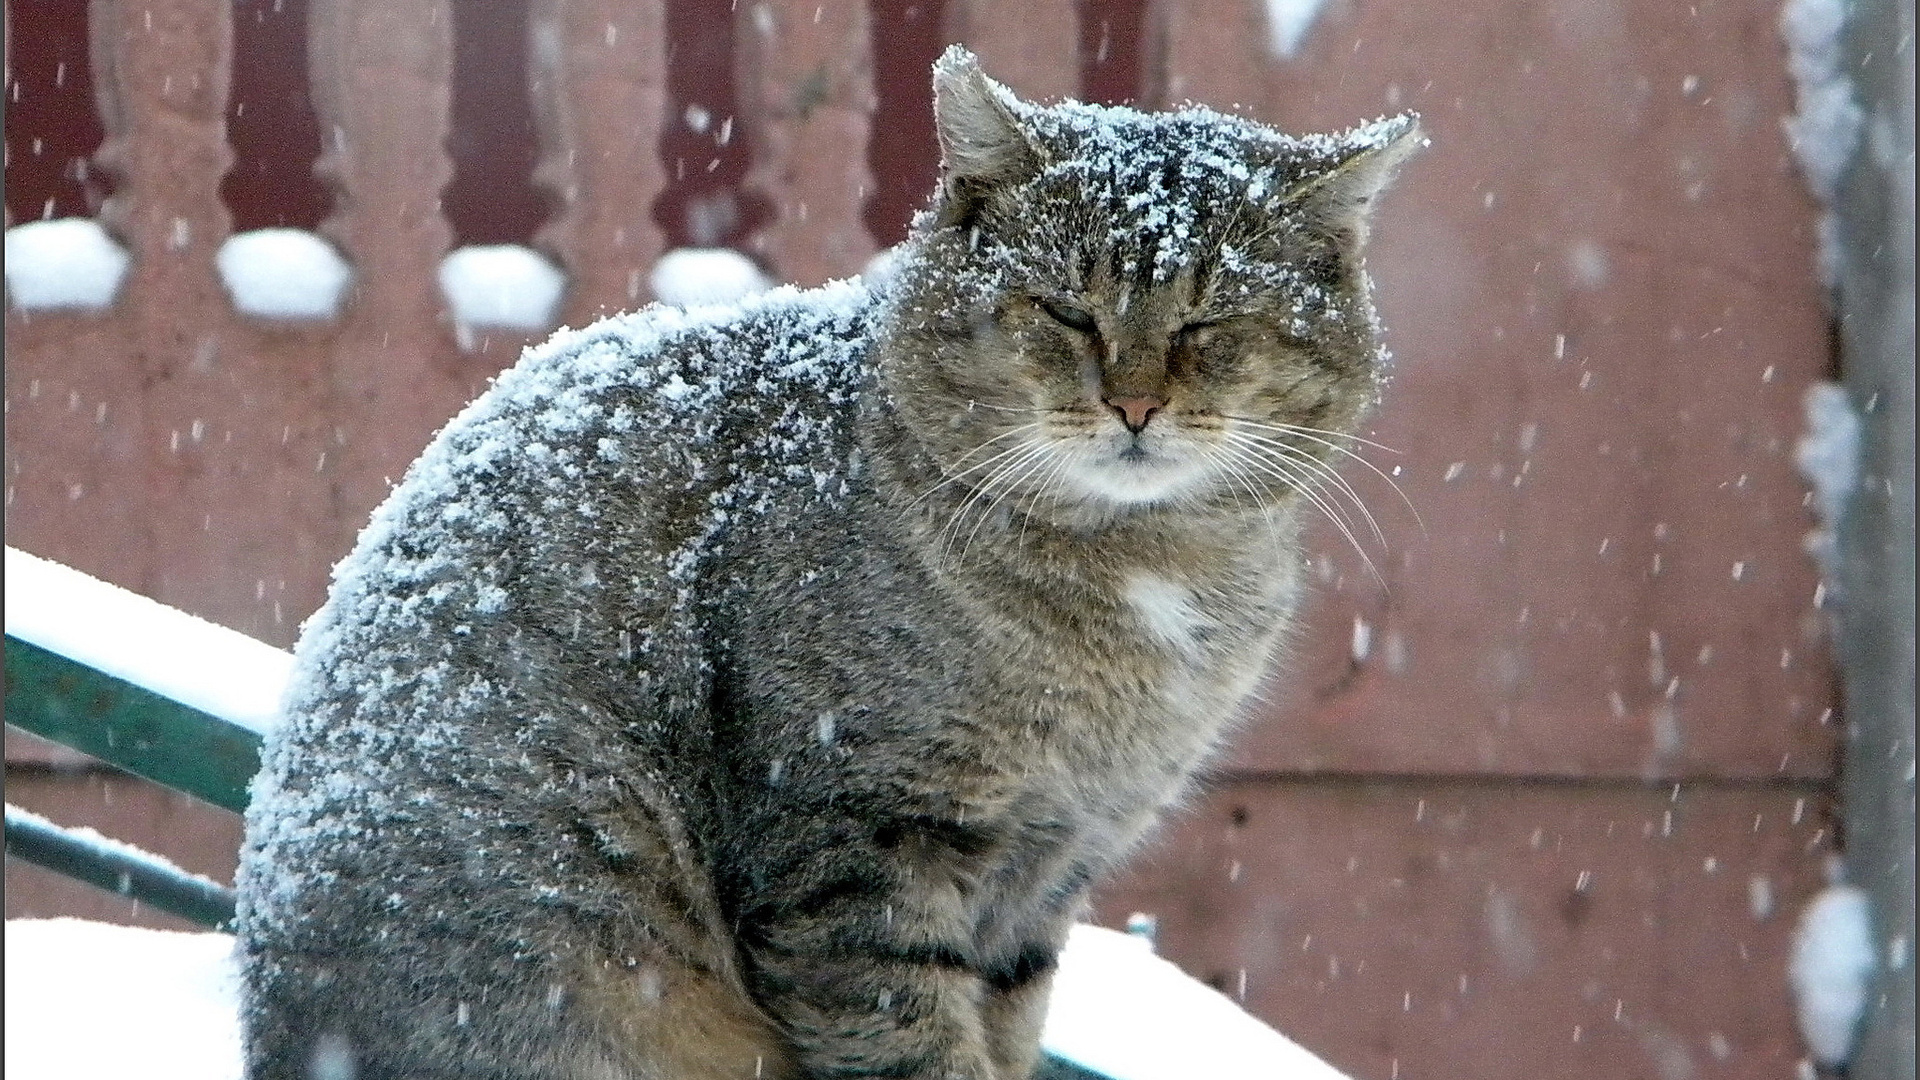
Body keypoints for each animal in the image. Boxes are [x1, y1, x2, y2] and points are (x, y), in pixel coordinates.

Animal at [232, 42, 1420, 1076]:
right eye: (1064, 311)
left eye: (1211, 323)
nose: (1134, 404)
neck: (1136, 585)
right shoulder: (858, 847)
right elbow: (914, 1041)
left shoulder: (1051, 872)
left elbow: (1008, 1029)